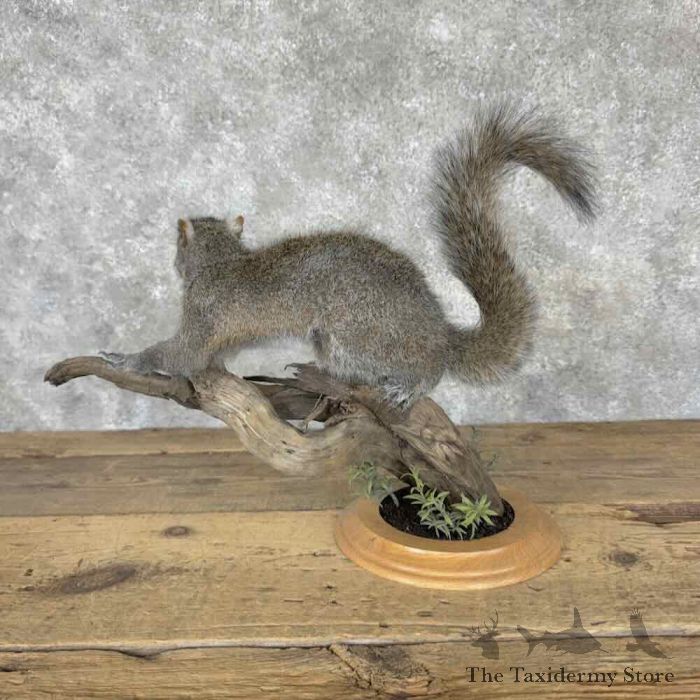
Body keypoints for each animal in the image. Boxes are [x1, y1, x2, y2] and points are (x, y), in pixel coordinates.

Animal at [100, 105, 597, 407]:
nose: (173, 261)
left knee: (427, 367)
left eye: (177, 243)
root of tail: (437, 330)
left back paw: (409, 385)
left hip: (356, 333)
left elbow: (180, 354)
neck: (222, 261)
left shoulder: (203, 314)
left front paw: (124, 359)